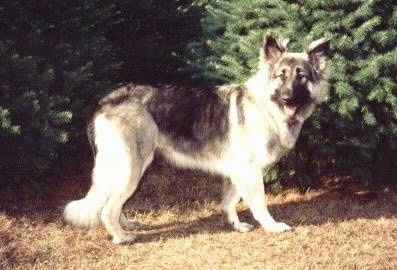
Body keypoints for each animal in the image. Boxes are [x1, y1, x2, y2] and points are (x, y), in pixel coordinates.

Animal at [64, 32, 332, 244]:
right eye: (281, 76)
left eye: (301, 77)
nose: (288, 99)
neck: (267, 107)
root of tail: (106, 102)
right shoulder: (250, 173)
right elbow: (259, 205)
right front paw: (272, 226)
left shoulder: (236, 173)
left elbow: (229, 202)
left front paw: (235, 225)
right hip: (132, 168)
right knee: (107, 209)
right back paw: (121, 237)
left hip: (130, 168)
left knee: (113, 203)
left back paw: (126, 225)